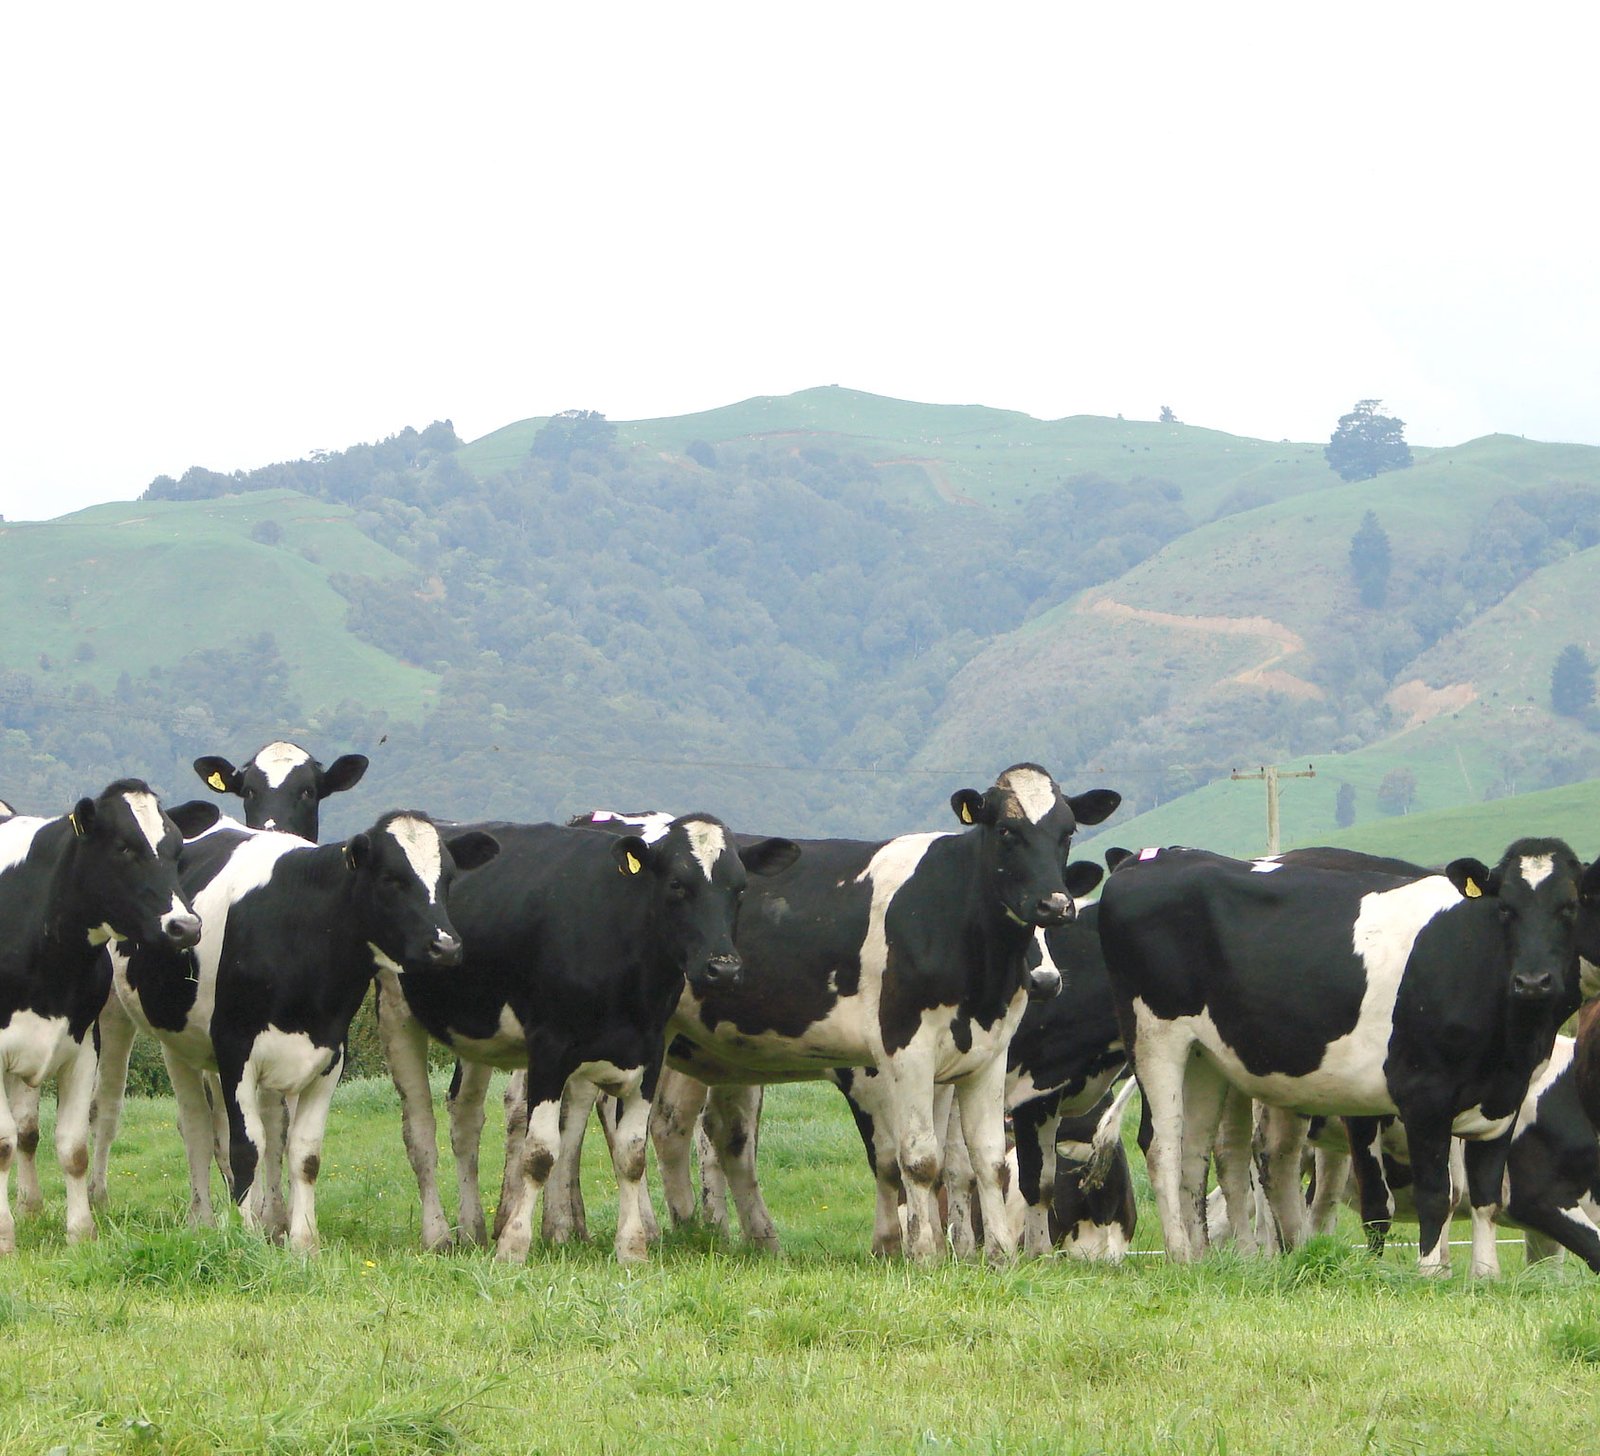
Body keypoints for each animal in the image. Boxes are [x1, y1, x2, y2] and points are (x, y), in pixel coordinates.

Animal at [0, 787, 216, 1254]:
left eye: (176, 850)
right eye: (123, 848)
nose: (185, 926)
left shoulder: (81, 1044)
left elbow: (72, 1147)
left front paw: (81, 1232)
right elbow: (2, 1143)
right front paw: (4, 1237)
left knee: (29, 1129)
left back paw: (31, 1204)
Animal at [112, 809, 492, 1254]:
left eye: (447, 878)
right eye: (391, 878)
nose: (446, 947)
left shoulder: (329, 1055)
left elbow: (304, 1154)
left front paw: (302, 1240)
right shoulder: (235, 1049)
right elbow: (246, 1148)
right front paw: (246, 1237)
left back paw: (269, 1220)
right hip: (175, 1043)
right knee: (198, 1131)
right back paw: (204, 1221)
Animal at [376, 816, 800, 1260]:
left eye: (740, 888)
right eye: (676, 884)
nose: (724, 968)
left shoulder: (649, 1052)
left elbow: (631, 1153)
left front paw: (632, 1249)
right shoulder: (549, 1048)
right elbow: (540, 1151)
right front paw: (513, 1246)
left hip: (477, 1032)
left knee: (466, 1117)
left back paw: (472, 1229)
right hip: (395, 1012)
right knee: (419, 1130)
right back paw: (438, 1234)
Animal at [656, 768, 1120, 1260]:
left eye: (1067, 832)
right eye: (1007, 831)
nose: (1056, 905)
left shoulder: (987, 1055)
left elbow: (987, 1161)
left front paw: (995, 1255)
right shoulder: (901, 1053)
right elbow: (915, 1159)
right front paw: (919, 1251)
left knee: (711, 1132)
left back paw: (733, 1236)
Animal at [1100, 844, 1600, 1280]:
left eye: (1571, 906)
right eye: (1506, 910)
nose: (1533, 981)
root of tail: (1150, 859)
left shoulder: (1503, 1100)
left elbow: (1484, 1196)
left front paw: (1484, 1276)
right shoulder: (1421, 1095)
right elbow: (1430, 1194)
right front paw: (1429, 1274)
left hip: (1205, 1055)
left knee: (1202, 1150)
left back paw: (1210, 1259)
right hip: (1155, 1035)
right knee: (1163, 1145)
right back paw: (1183, 1256)